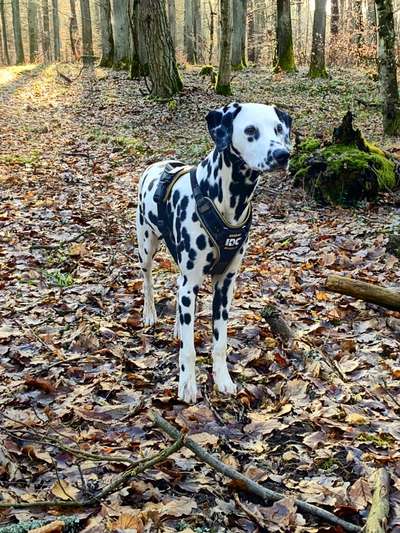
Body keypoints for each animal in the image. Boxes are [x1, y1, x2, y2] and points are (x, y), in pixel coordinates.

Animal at [137, 102, 290, 402]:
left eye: (279, 129)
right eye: (250, 130)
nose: (282, 155)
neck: (226, 201)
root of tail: (156, 166)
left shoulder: (225, 286)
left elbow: (220, 342)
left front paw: (223, 379)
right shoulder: (192, 282)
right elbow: (188, 349)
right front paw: (187, 385)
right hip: (146, 246)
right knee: (148, 281)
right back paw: (149, 314)